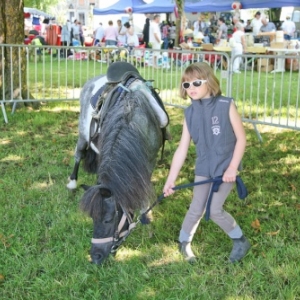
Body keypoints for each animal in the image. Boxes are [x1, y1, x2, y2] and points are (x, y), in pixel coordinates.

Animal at [67, 62, 169, 264]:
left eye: (107, 220)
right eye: (92, 219)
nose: (95, 257)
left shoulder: (148, 161)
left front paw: (147, 221)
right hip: (83, 136)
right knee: (78, 155)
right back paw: (72, 183)